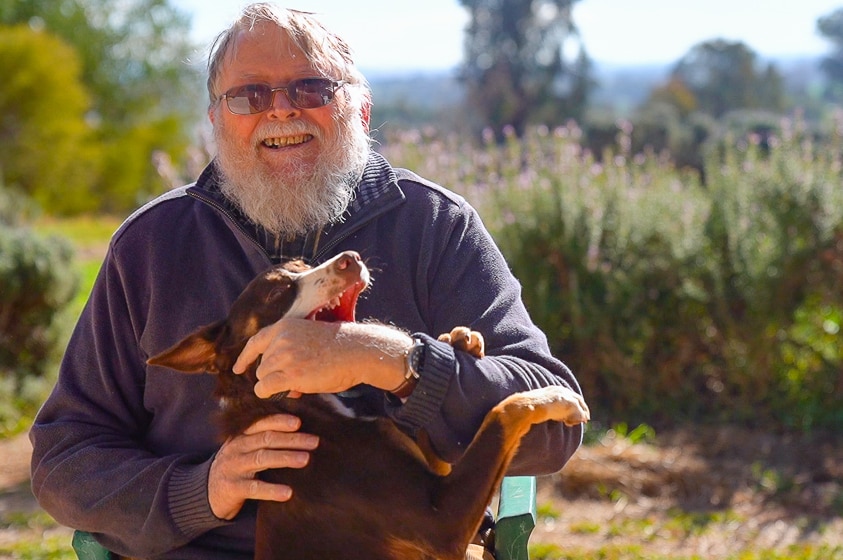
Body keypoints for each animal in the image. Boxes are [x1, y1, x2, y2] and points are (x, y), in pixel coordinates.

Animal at [150, 250, 588, 560]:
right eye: (275, 292)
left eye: (303, 265)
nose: (351, 258)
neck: (306, 405)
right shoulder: (441, 521)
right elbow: (504, 411)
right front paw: (557, 398)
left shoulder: (436, 478)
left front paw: (460, 341)